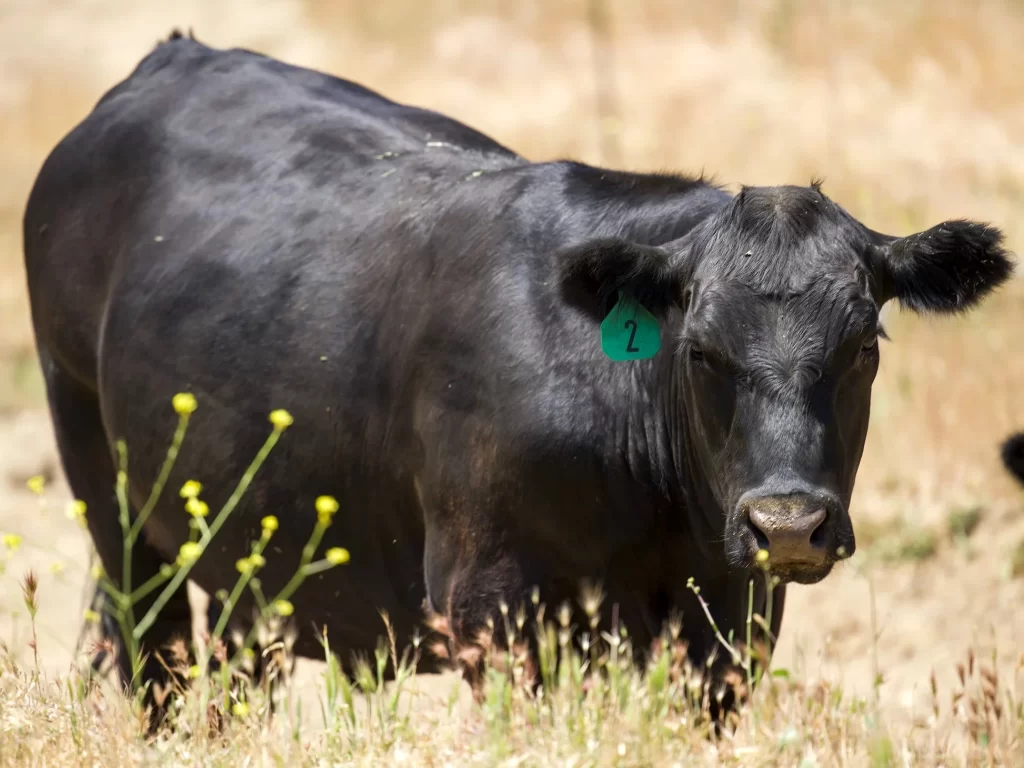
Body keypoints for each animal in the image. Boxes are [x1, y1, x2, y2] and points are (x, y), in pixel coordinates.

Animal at [23, 30, 1014, 717]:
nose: (788, 524)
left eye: (865, 347)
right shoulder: (489, 604)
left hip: (237, 552)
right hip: (106, 491)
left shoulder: (730, 620)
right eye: (698, 349)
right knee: (150, 653)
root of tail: (174, 56)